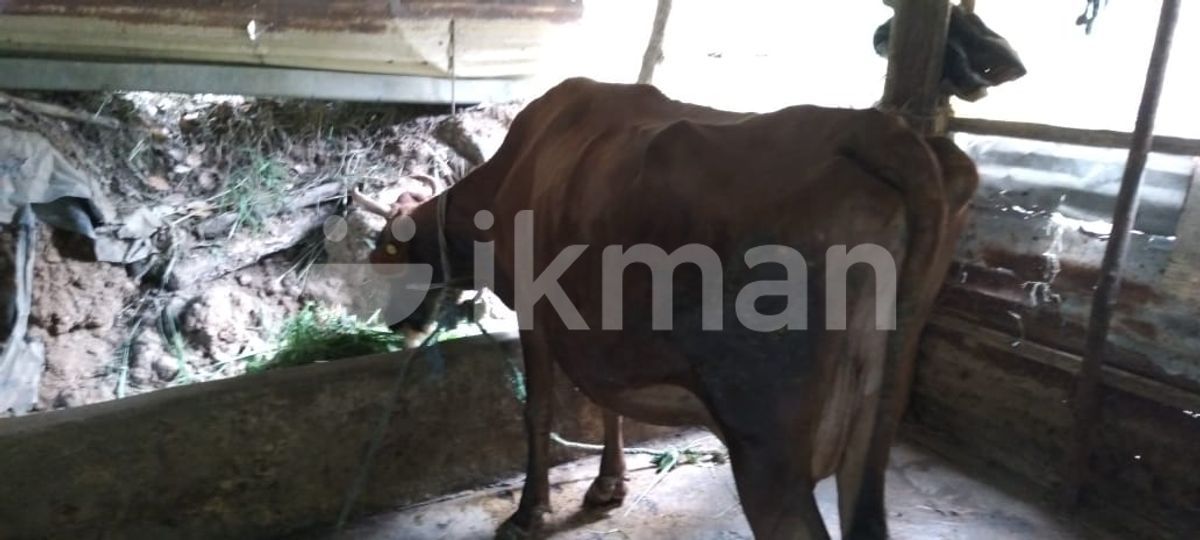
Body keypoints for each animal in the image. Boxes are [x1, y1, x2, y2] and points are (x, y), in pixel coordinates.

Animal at [355, 77, 978, 539]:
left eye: (386, 252)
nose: (395, 324)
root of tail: (874, 127)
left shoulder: (535, 309)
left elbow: (538, 411)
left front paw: (529, 513)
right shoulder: (593, 326)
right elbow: (603, 404)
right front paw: (608, 485)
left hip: (766, 443)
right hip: (874, 419)